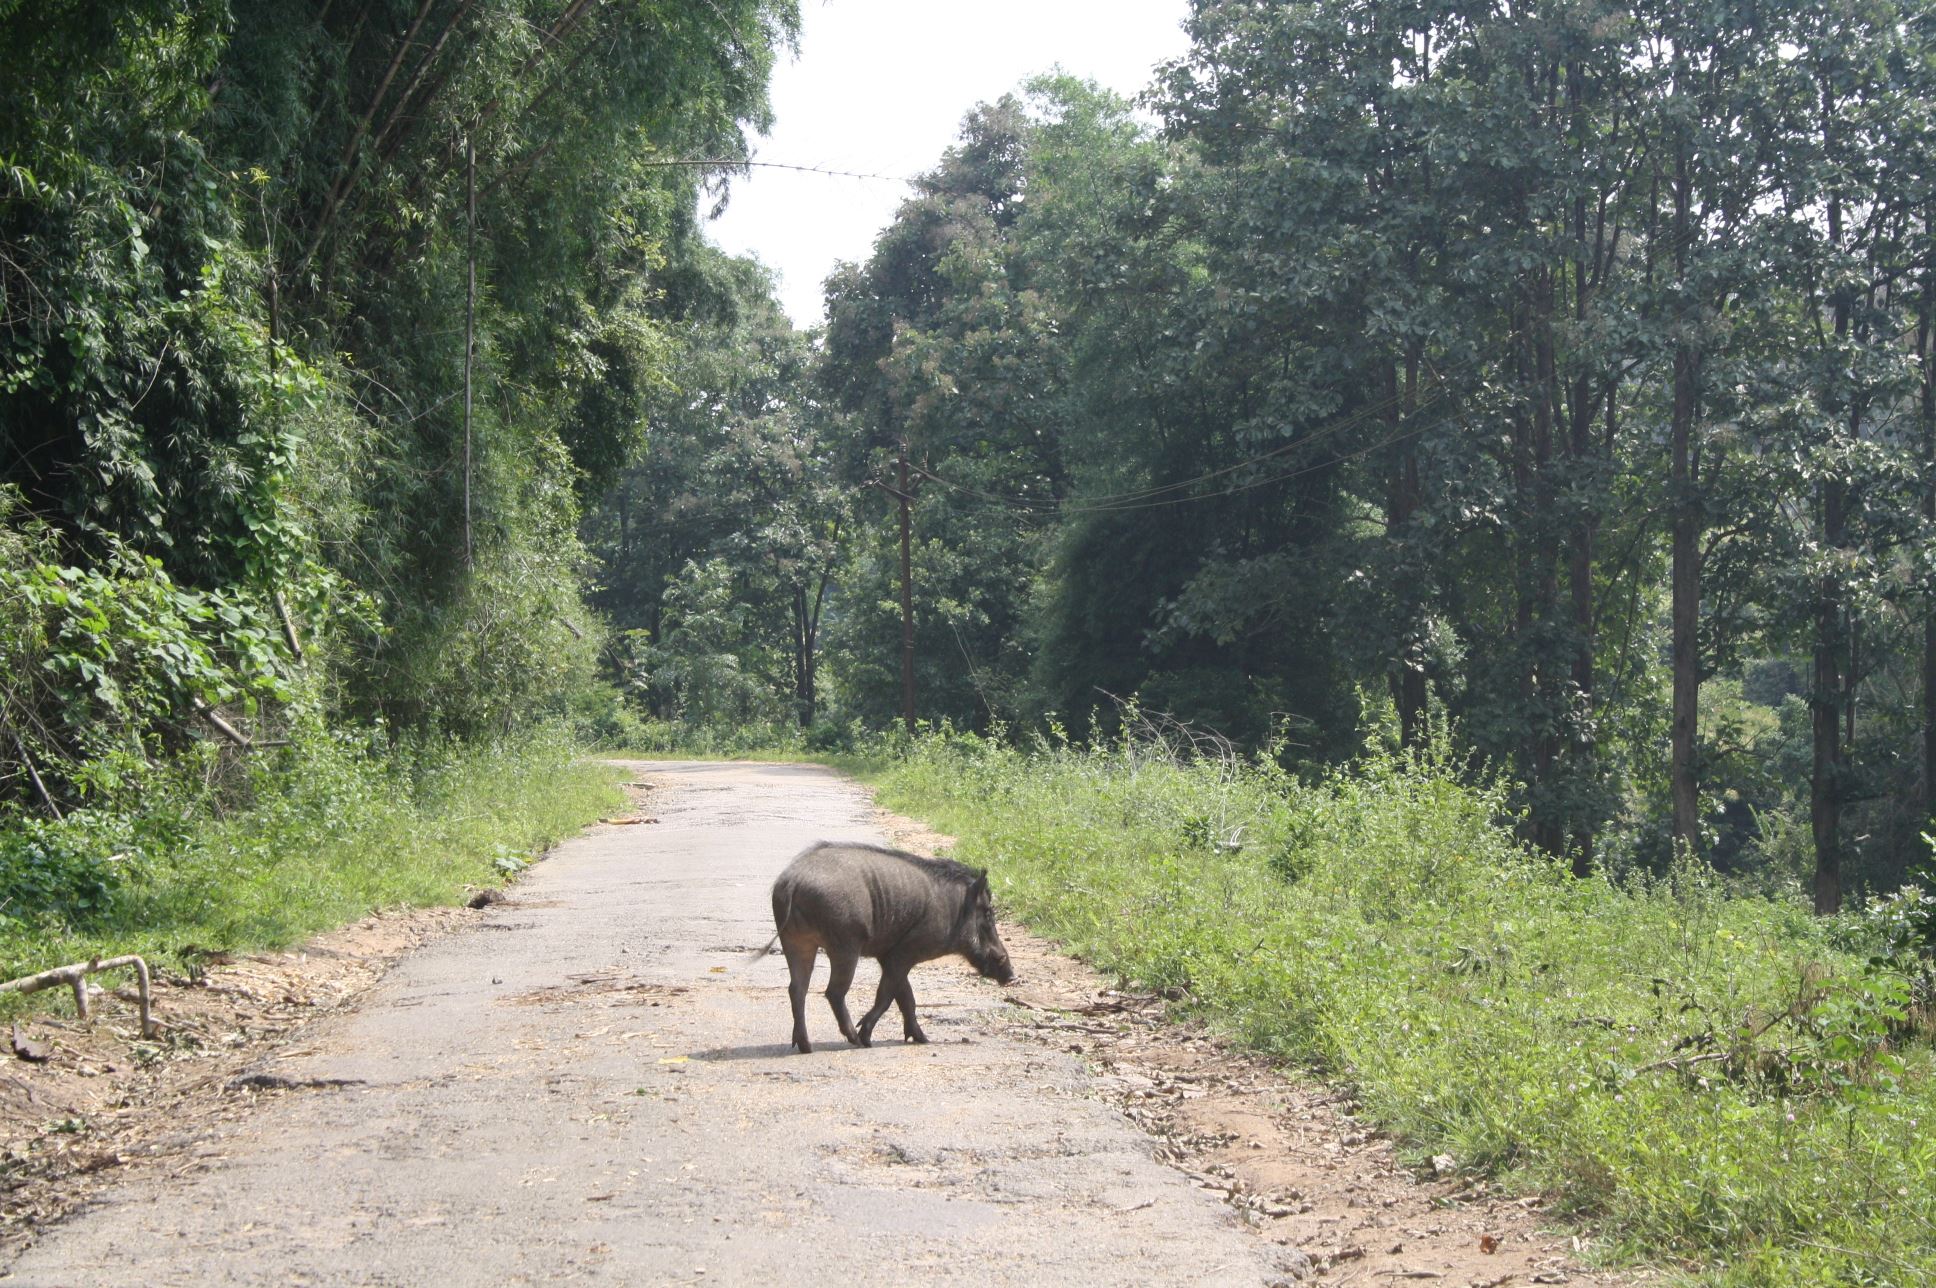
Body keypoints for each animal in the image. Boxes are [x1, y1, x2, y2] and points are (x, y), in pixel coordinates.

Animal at [762, 841, 1014, 1054]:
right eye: (988, 913)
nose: (1012, 976)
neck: (954, 909)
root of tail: (793, 882)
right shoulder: (904, 953)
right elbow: (887, 995)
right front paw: (869, 1037)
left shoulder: (888, 955)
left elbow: (906, 997)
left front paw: (923, 1039)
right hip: (845, 944)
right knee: (833, 991)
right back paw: (856, 1040)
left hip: (795, 941)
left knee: (797, 989)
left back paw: (805, 1046)